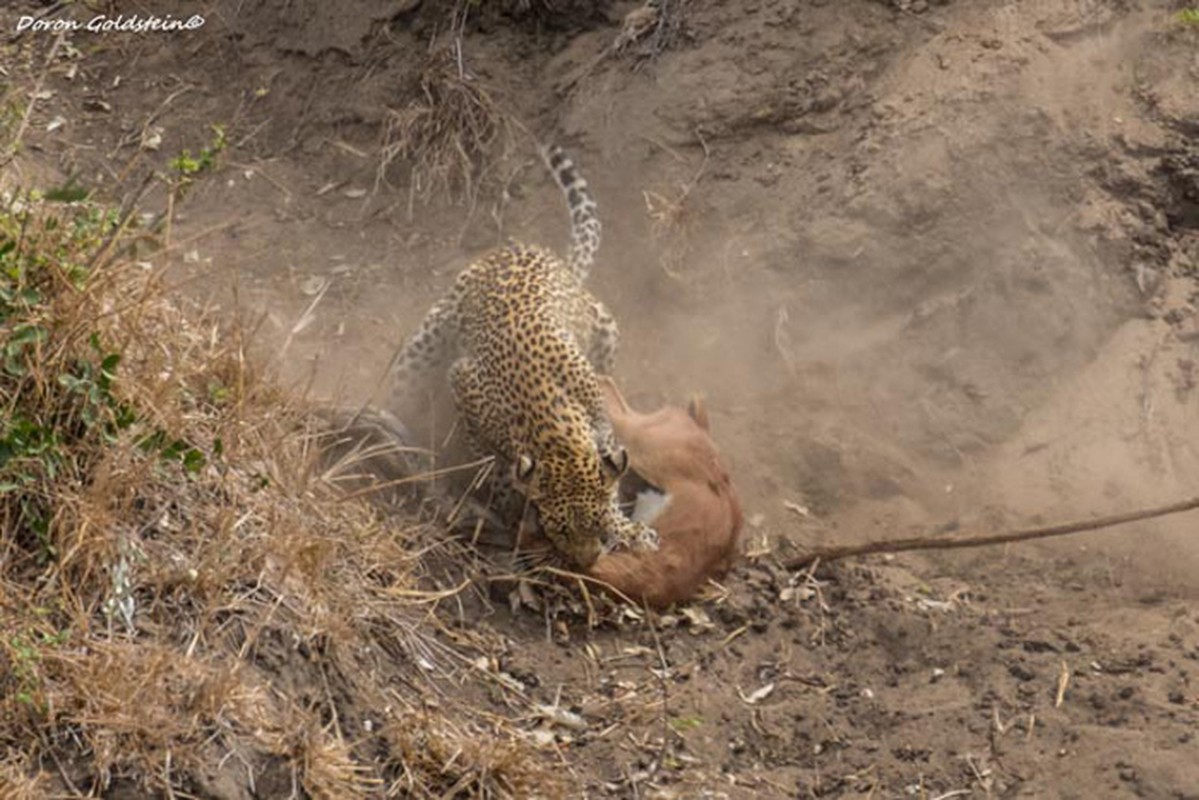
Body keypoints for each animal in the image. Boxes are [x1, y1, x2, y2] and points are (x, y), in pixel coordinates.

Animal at [390, 143, 657, 568]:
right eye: (558, 529)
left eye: (597, 524)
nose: (586, 563)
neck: (555, 429)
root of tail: (536, 252)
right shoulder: (462, 379)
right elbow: (490, 457)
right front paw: (505, 492)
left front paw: (628, 529)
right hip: (427, 338)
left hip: (606, 326)